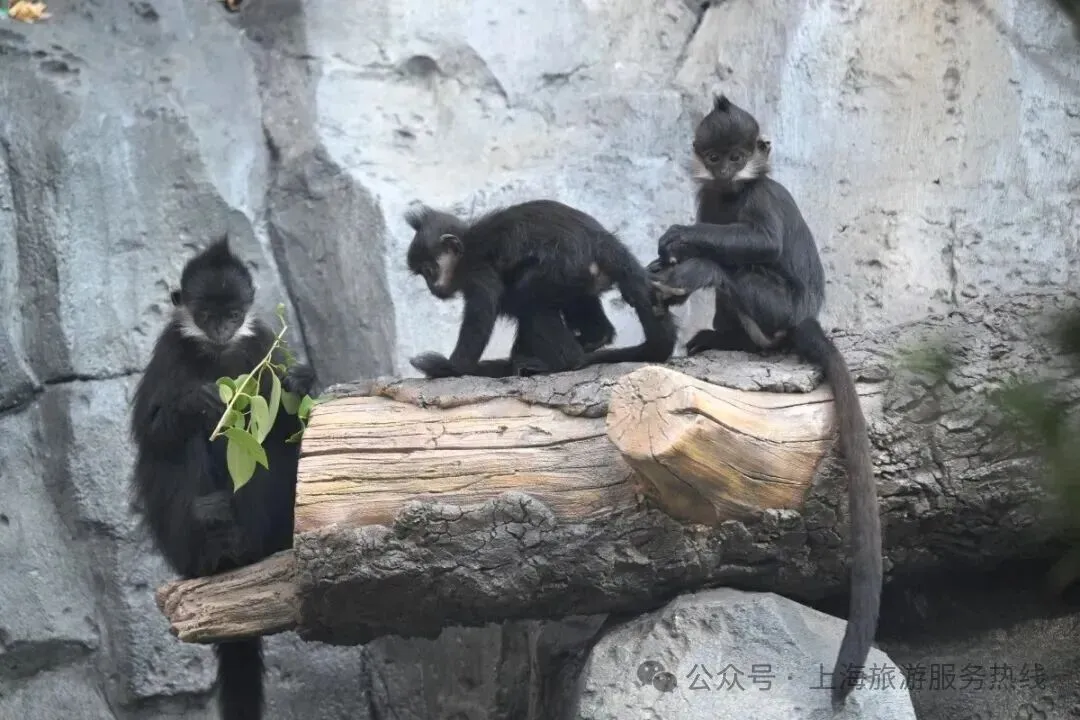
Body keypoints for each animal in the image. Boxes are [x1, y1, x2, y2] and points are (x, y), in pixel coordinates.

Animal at [129, 236, 317, 720]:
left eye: (233, 314)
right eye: (207, 314)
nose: (220, 329)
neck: (216, 353)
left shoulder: (262, 342)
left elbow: (288, 417)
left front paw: (300, 379)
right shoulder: (170, 348)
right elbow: (151, 432)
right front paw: (197, 401)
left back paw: (241, 544)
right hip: (177, 543)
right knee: (179, 445)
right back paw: (211, 532)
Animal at [404, 199, 677, 378]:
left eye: (429, 271)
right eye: (423, 275)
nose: (431, 287)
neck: (467, 248)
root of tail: (603, 242)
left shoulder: (478, 272)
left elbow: (481, 316)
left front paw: (453, 368)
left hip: (564, 268)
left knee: (526, 299)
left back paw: (567, 361)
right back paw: (593, 338)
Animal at [648, 95, 881, 706]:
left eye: (738, 155)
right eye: (715, 157)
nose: (728, 170)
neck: (733, 193)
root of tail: (804, 317)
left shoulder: (760, 195)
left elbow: (764, 242)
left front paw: (678, 243)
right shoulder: (711, 196)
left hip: (775, 306)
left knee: (730, 267)